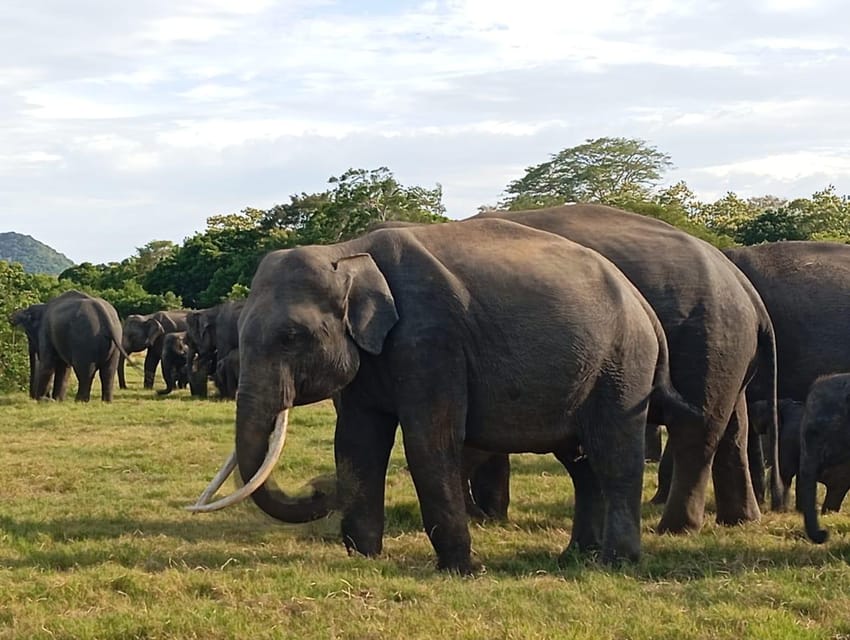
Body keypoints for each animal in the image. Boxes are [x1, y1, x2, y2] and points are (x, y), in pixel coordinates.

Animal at [189, 216, 700, 568]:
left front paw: (463, 569)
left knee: (613, 455)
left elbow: (428, 442)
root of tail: (643, 306)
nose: (318, 487)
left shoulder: (431, 341)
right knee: (580, 463)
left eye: (291, 338)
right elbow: (356, 441)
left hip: (622, 365)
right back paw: (575, 558)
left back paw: (615, 562)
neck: (348, 252)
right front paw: (366, 557)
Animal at [470, 205, 780, 528]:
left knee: (696, 431)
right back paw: (740, 520)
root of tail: (745, 287)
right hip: (729, 349)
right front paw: (488, 516)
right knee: (733, 426)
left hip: (708, 341)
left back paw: (676, 528)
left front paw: (482, 517)